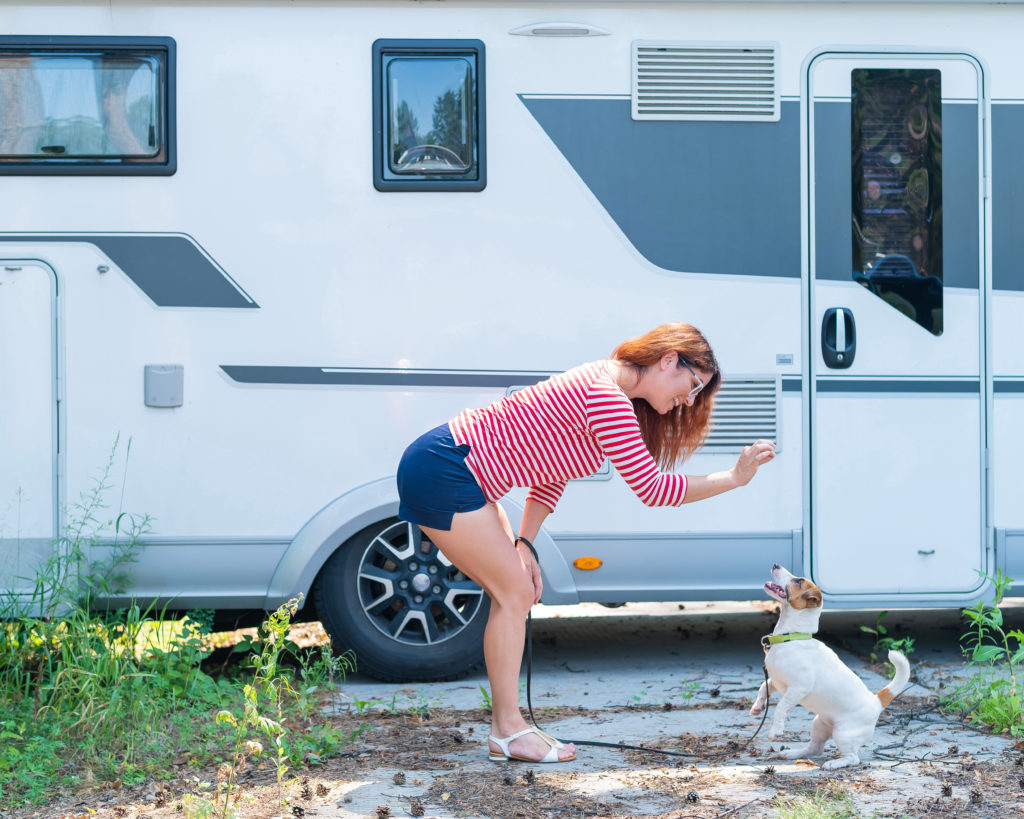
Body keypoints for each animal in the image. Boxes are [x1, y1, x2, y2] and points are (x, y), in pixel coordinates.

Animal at [745, 565, 913, 769]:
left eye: (798, 581)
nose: (776, 565)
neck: (791, 637)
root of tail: (876, 701)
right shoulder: (777, 682)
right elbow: (763, 687)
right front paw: (757, 706)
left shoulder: (798, 688)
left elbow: (781, 707)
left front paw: (775, 730)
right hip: (819, 724)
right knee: (815, 748)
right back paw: (794, 753)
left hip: (843, 733)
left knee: (853, 758)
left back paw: (834, 764)